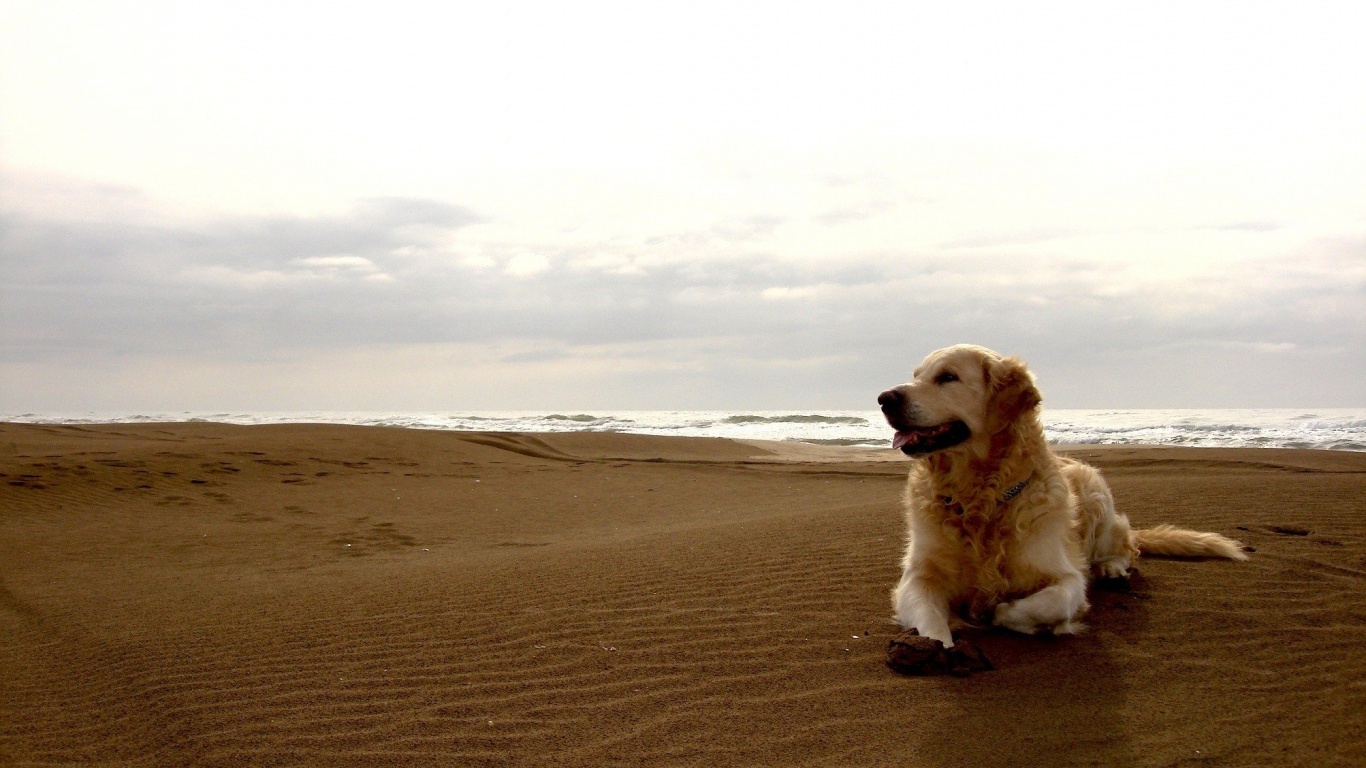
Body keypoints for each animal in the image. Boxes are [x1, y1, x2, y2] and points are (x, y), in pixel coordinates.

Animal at [874, 344, 1251, 642]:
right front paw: (938, 648)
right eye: (916, 375)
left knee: (1127, 546)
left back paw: (1112, 568)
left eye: (947, 377)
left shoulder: (1065, 575)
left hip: (1097, 494)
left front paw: (1001, 612)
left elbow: (1048, 602)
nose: (884, 398)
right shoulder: (917, 578)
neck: (981, 499)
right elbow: (931, 621)